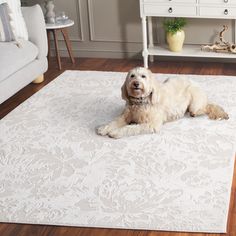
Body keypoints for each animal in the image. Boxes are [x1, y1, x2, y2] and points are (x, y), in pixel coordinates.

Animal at [96, 67, 229, 138]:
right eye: (132, 76)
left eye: (143, 76)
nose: (136, 84)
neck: (140, 103)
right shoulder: (125, 116)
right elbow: (115, 121)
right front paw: (104, 128)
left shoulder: (151, 125)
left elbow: (131, 128)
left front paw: (116, 132)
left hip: (195, 103)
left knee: (206, 107)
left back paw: (196, 113)